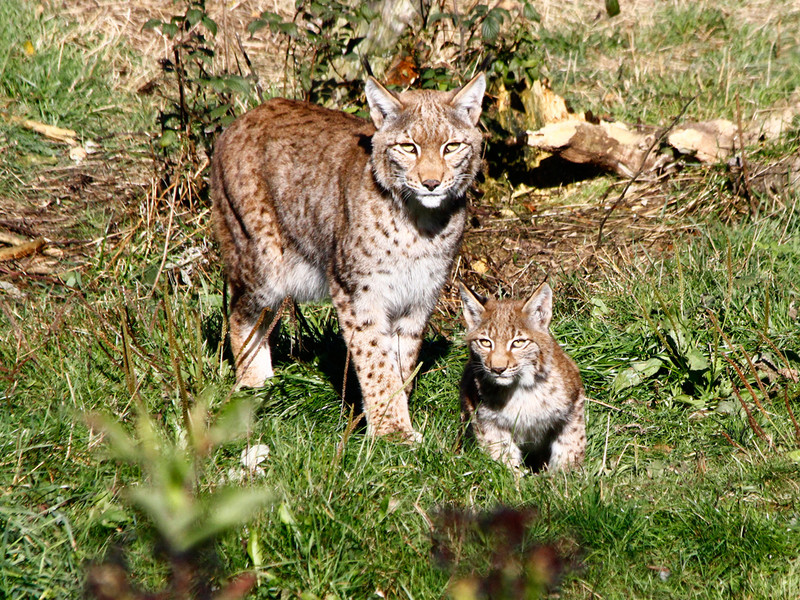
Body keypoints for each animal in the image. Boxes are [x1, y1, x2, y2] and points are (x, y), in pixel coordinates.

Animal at [209, 72, 484, 438]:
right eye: (408, 147)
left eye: (451, 147)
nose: (431, 183)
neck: (421, 223)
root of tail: (243, 118)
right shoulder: (358, 292)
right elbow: (376, 360)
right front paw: (392, 431)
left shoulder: (420, 295)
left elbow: (402, 358)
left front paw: (397, 413)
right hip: (263, 259)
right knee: (240, 312)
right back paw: (254, 386)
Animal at [460, 282, 584, 474]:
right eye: (485, 342)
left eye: (518, 343)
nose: (498, 369)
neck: (521, 387)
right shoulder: (487, 421)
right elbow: (502, 454)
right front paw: (513, 478)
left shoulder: (574, 405)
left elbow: (570, 446)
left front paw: (563, 475)